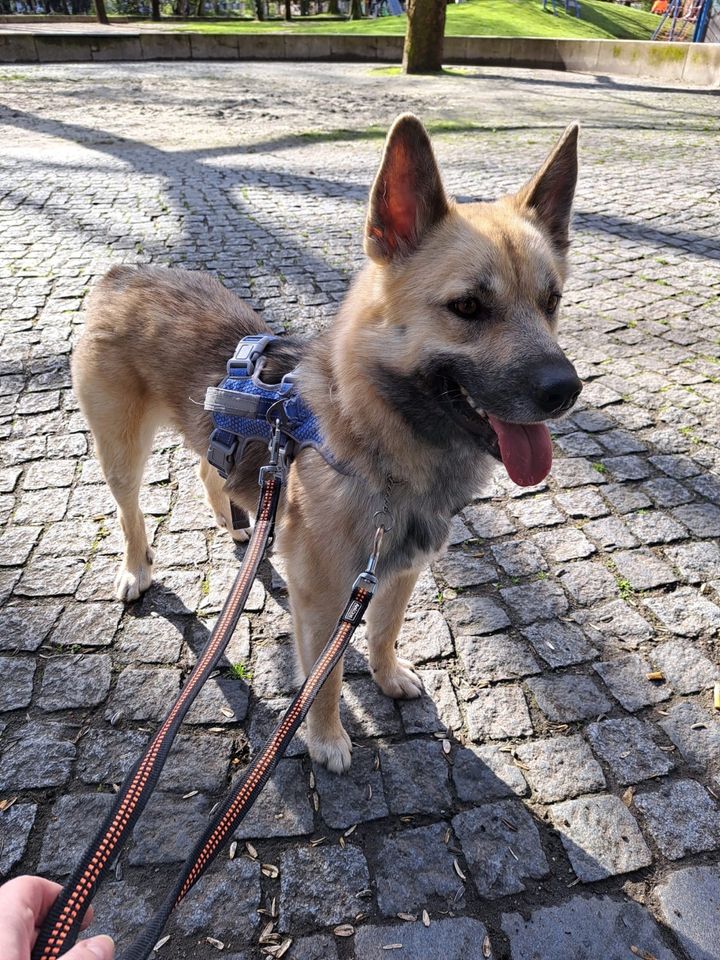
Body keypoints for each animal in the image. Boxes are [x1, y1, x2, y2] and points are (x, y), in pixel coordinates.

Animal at [71, 114, 580, 772]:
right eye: (467, 306)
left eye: (552, 302)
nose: (566, 390)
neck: (379, 443)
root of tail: (125, 274)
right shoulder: (323, 597)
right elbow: (327, 677)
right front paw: (326, 738)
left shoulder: (398, 571)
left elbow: (384, 632)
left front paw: (388, 677)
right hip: (121, 450)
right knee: (131, 513)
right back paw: (137, 570)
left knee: (212, 471)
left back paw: (240, 526)